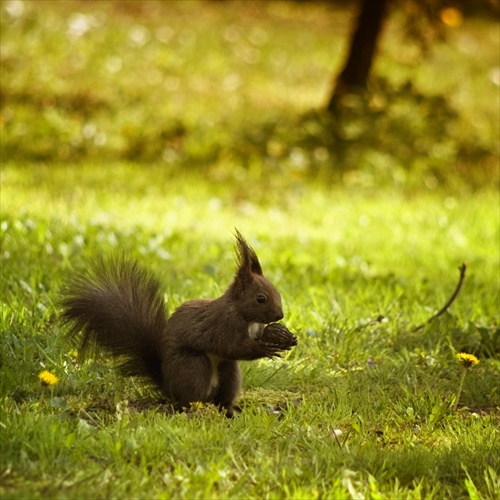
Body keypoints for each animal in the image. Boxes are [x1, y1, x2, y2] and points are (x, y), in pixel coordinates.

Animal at [61, 232, 296, 416]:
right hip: (194, 367)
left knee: (222, 398)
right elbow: (233, 347)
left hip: (229, 373)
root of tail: (168, 386)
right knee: (189, 400)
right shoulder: (223, 324)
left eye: (276, 291)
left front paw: (282, 336)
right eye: (260, 298)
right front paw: (265, 347)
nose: (280, 315)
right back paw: (195, 410)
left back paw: (229, 410)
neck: (243, 314)